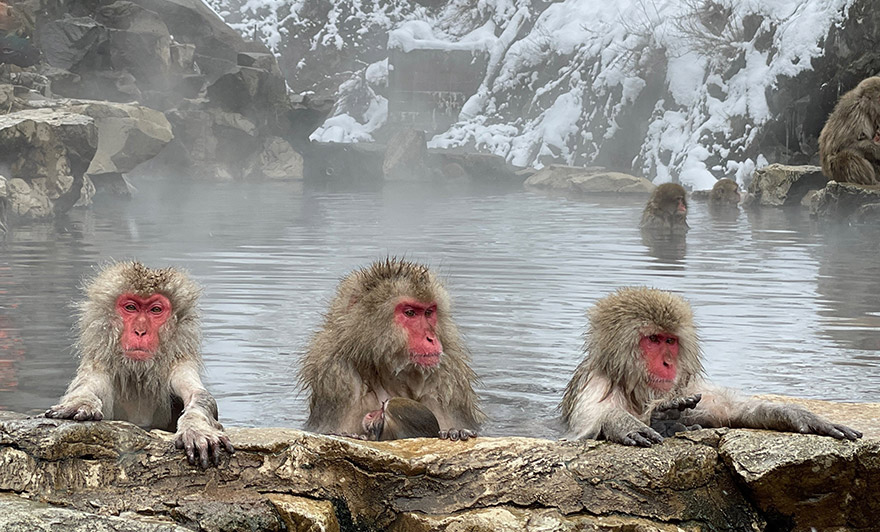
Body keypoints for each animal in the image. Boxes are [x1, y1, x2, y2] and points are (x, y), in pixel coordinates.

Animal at [45, 261, 234, 467]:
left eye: (155, 310)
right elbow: (85, 388)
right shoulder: (100, 365)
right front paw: (80, 402)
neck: (138, 375)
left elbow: (200, 396)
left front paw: (196, 427)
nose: (140, 331)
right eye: (131, 307)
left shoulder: (179, 365)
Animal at [300, 257, 484, 441]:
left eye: (428, 312)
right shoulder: (338, 380)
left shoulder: (448, 380)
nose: (431, 338)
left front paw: (456, 431)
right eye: (410, 312)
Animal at [560, 287, 862, 446]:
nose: (668, 362)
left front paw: (801, 416)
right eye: (653, 340)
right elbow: (582, 433)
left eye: (670, 341)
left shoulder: (686, 386)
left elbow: (731, 411)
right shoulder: (595, 385)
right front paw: (620, 422)